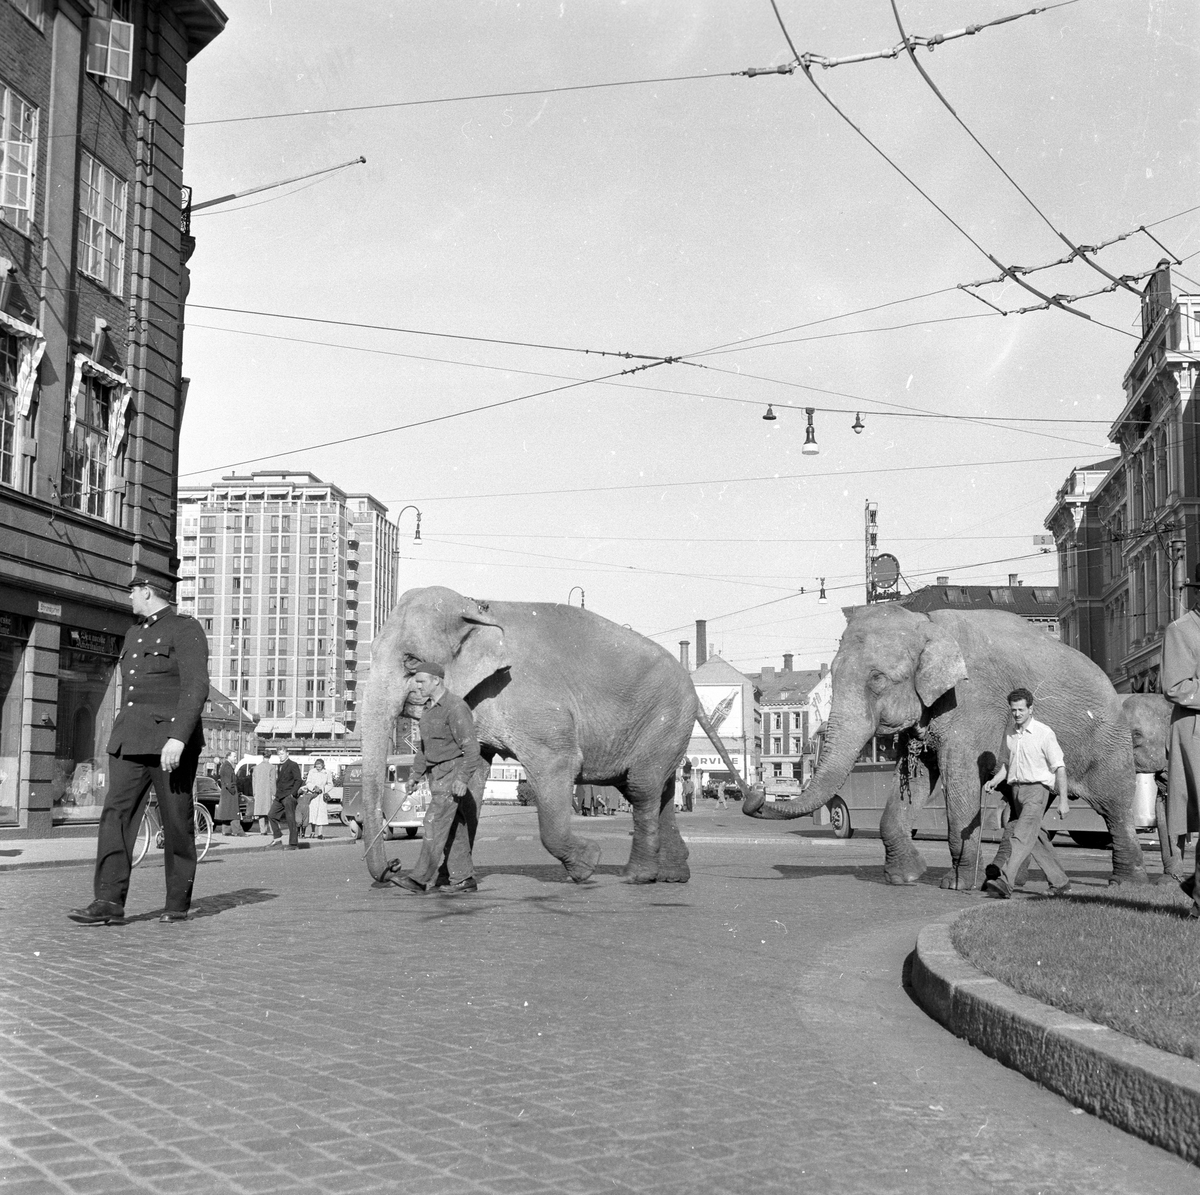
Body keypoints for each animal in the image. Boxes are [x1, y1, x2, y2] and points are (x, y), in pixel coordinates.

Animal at [360, 587, 744, 887]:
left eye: (411, 661)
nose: (392, 868)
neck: (478, 605)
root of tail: (693, 689)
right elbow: (470, 779)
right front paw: (455, 882)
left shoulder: (537, 706)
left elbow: (558, 765)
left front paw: (588, 864)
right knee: (658, 789)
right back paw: (673, 876)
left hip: (666, 718)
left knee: (642, 788)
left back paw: (637, 876)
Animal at [734, 607, 1147, 887]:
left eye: (877, 679)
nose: (757, 789)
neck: (927, 625)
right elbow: (914, 779)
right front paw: (905, 877)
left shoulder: (972, 704)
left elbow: (958, 778)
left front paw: (957, 884)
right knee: (1024, 811)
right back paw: (1011, 879)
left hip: (1108, 744)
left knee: (1113, 807)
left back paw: (1125, 881)